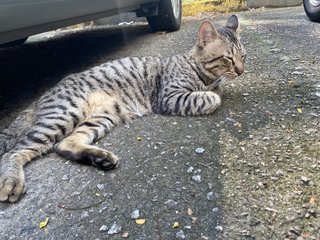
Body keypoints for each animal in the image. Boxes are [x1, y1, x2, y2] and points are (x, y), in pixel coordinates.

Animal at [0, 15, 245, 202]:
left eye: (243, 56)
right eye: (228, 58)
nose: (241, 71)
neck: (198, 69)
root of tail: (42, 96)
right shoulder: (169, 97)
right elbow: (211, 98)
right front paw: (214, 93)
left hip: (101, 118)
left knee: (63, 144)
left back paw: (100, 158)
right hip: (64, 114)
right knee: (16, 151)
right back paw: (12, 180)